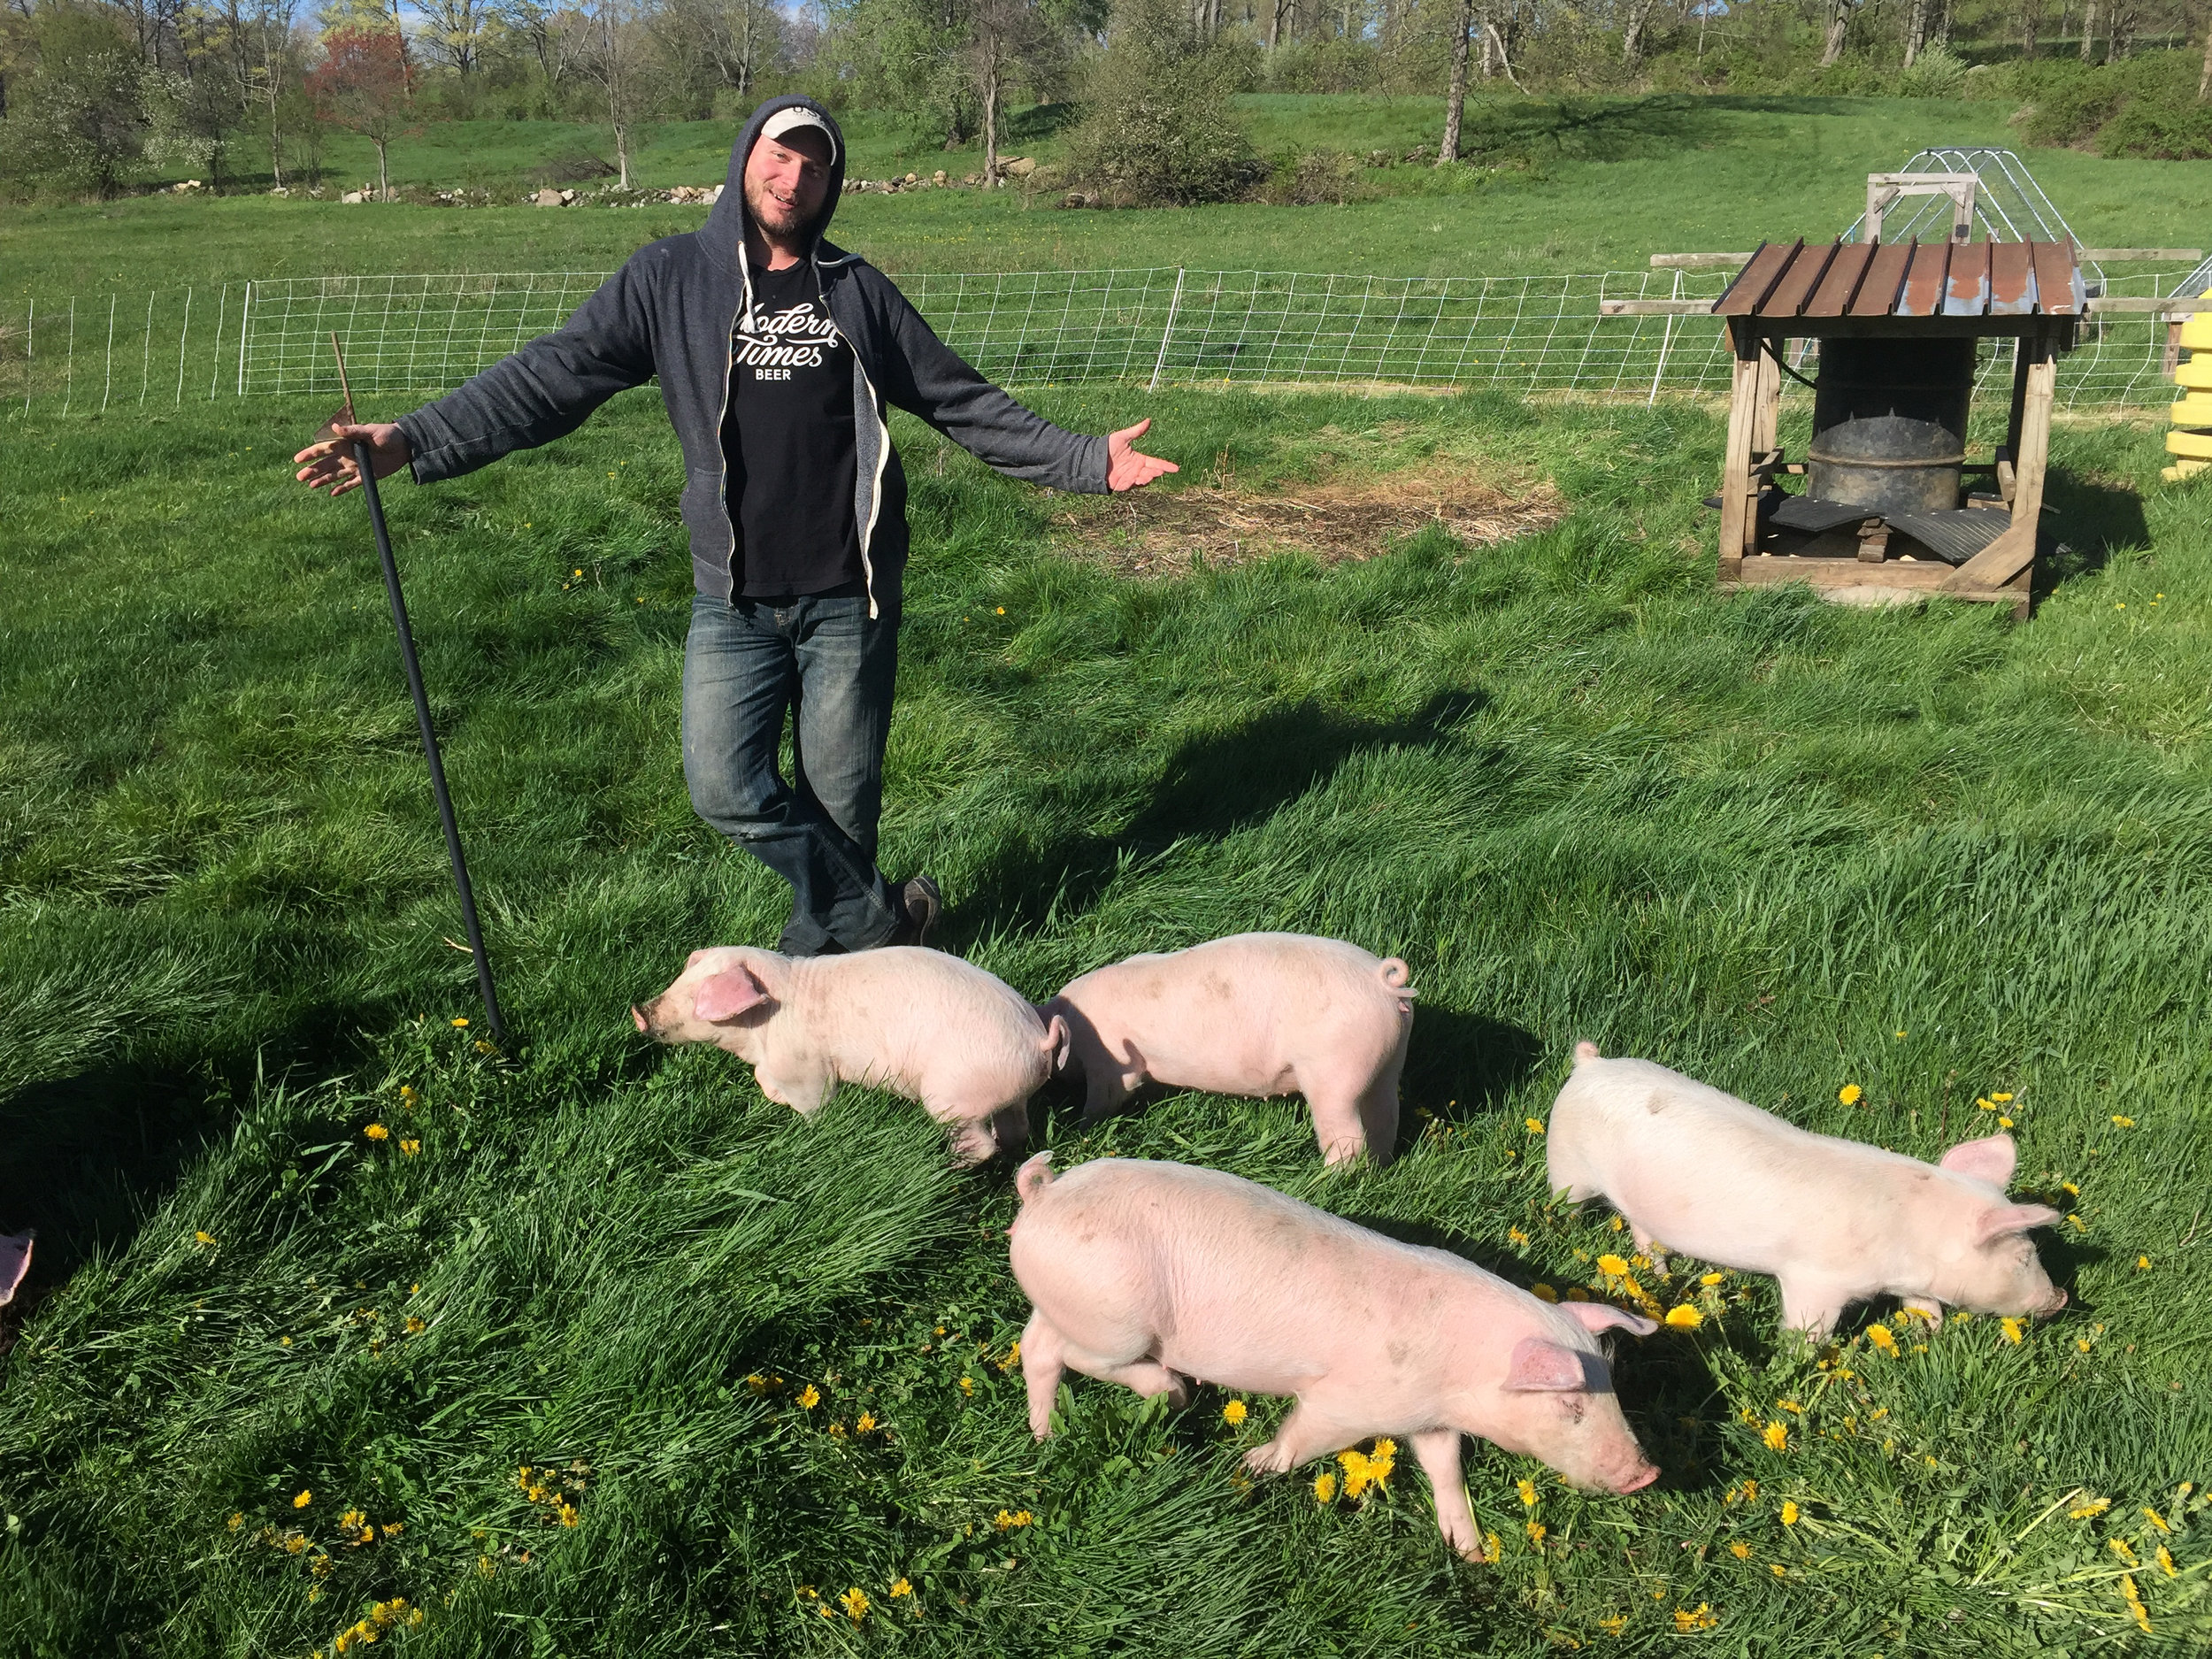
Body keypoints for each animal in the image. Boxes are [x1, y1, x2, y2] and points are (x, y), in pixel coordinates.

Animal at [637, 947, 1066, 1168]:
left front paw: (811, 1129)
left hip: (954, 1095)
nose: (639, 1011)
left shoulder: (807, 1070)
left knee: (981, 1144)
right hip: (1007, 1093)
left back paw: (947, 1165)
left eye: (699, 997)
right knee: (1015, 1128)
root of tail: (1037, 1039)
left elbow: (816, 1104)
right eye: (680, 980)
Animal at [1013, 1159, 1655, 1557]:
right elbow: (1304, 1436)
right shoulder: (1347, 1402)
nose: (1647, 1473)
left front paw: (1470, 1552)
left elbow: (1445, 1467)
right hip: (1115, 1321)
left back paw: (1045, 1435)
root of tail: (1045, 1193)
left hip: (1068, 1305)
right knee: (1076, 1355)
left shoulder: (1428, 1418)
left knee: (1036, 1347)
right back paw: (1174, 1389)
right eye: (1571, 1405)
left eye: (1614, 1396)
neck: (1460, 1373)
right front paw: (1252, 1465)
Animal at [1040, 938, 1416, 1168]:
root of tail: (1383, 982)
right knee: (1385, 1121)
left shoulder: (1109, 1064)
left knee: (1347, 1135)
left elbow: (1107, 1096)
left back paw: (1328, 1177)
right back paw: (1377, 1168)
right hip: (1388, 1063)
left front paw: (1082, 1127)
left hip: (1333, 1070)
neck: (1074, 1019)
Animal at [1540, 1053, 2070, 1336]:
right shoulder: (1814, 1278)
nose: (2062, 1297)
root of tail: (1590, 1063)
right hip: (1567, 1163)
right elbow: (1808, 1327)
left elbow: (1923, 1304)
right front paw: (1803, 1350)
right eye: (2023, 1257)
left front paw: (1930, 1332)